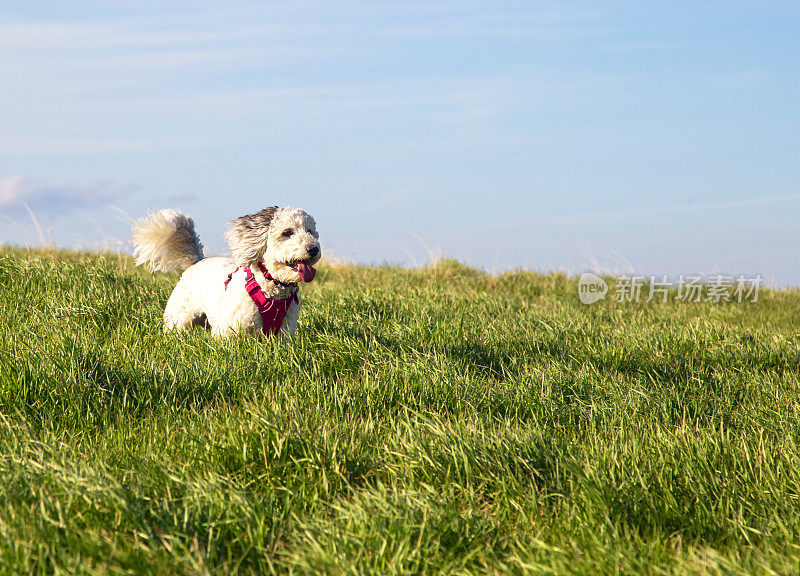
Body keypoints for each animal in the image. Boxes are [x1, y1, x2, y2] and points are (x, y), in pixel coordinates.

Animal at [130, 206, 318, 338]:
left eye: (311, 231)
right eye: (287, 232)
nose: (314, 249)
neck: (271, 293)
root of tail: (198, 261)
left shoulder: (283, 333)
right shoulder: (228, 331)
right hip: (178, 318)